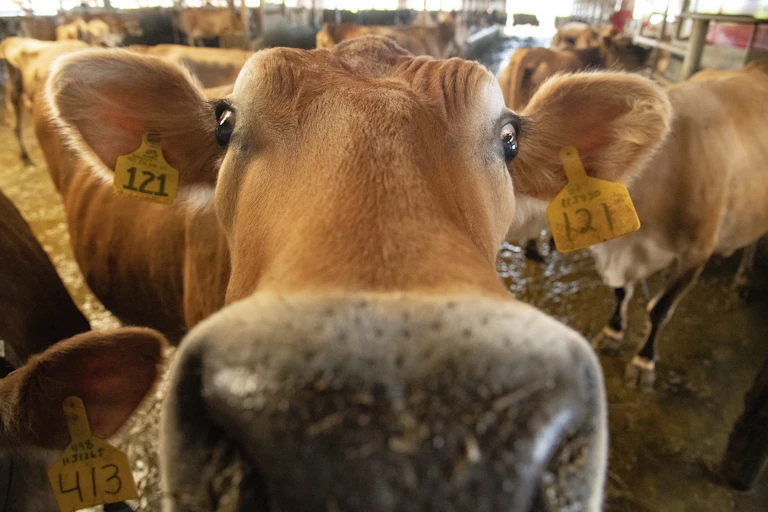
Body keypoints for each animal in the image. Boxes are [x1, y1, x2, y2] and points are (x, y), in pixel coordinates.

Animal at [508, 61, 768, 391]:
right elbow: (621, 292)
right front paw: (613, 331)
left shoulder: (696, 253)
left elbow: (659, 309)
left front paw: (644, 361)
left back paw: (743, 278)